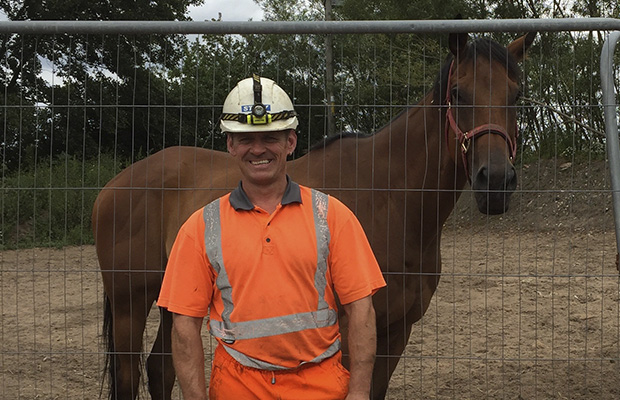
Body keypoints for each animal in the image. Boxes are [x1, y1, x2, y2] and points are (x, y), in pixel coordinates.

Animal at [91, 32, 532, 400]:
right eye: (458, 93)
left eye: (516, 96)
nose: (496, 181)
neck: (391, 198)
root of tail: (115, 186)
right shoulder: (352, 331)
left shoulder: (396, 331)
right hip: (131, 304)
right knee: (131, 375)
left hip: (176, 301)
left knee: (160, 370)